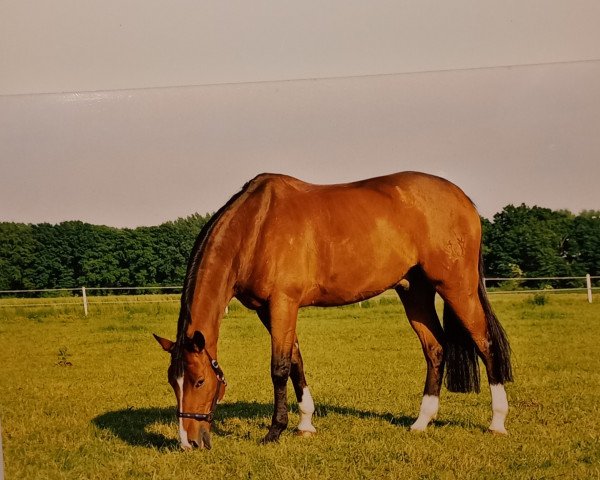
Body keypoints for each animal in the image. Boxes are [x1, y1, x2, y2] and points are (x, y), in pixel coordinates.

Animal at [154, 172, 510, 450]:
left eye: (200, 381)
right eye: (173, 382)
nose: (188, 442)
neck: (255, 227)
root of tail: (461, 198)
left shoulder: (283, 303)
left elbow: (279, 367)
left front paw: (275, 431)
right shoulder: (268, 311)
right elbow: (296, 361)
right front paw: (305, 424)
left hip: (457, 288)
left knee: (486, 343)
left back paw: (497, 422)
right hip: (415, 292)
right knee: (435, 349)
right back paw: (421, 422)